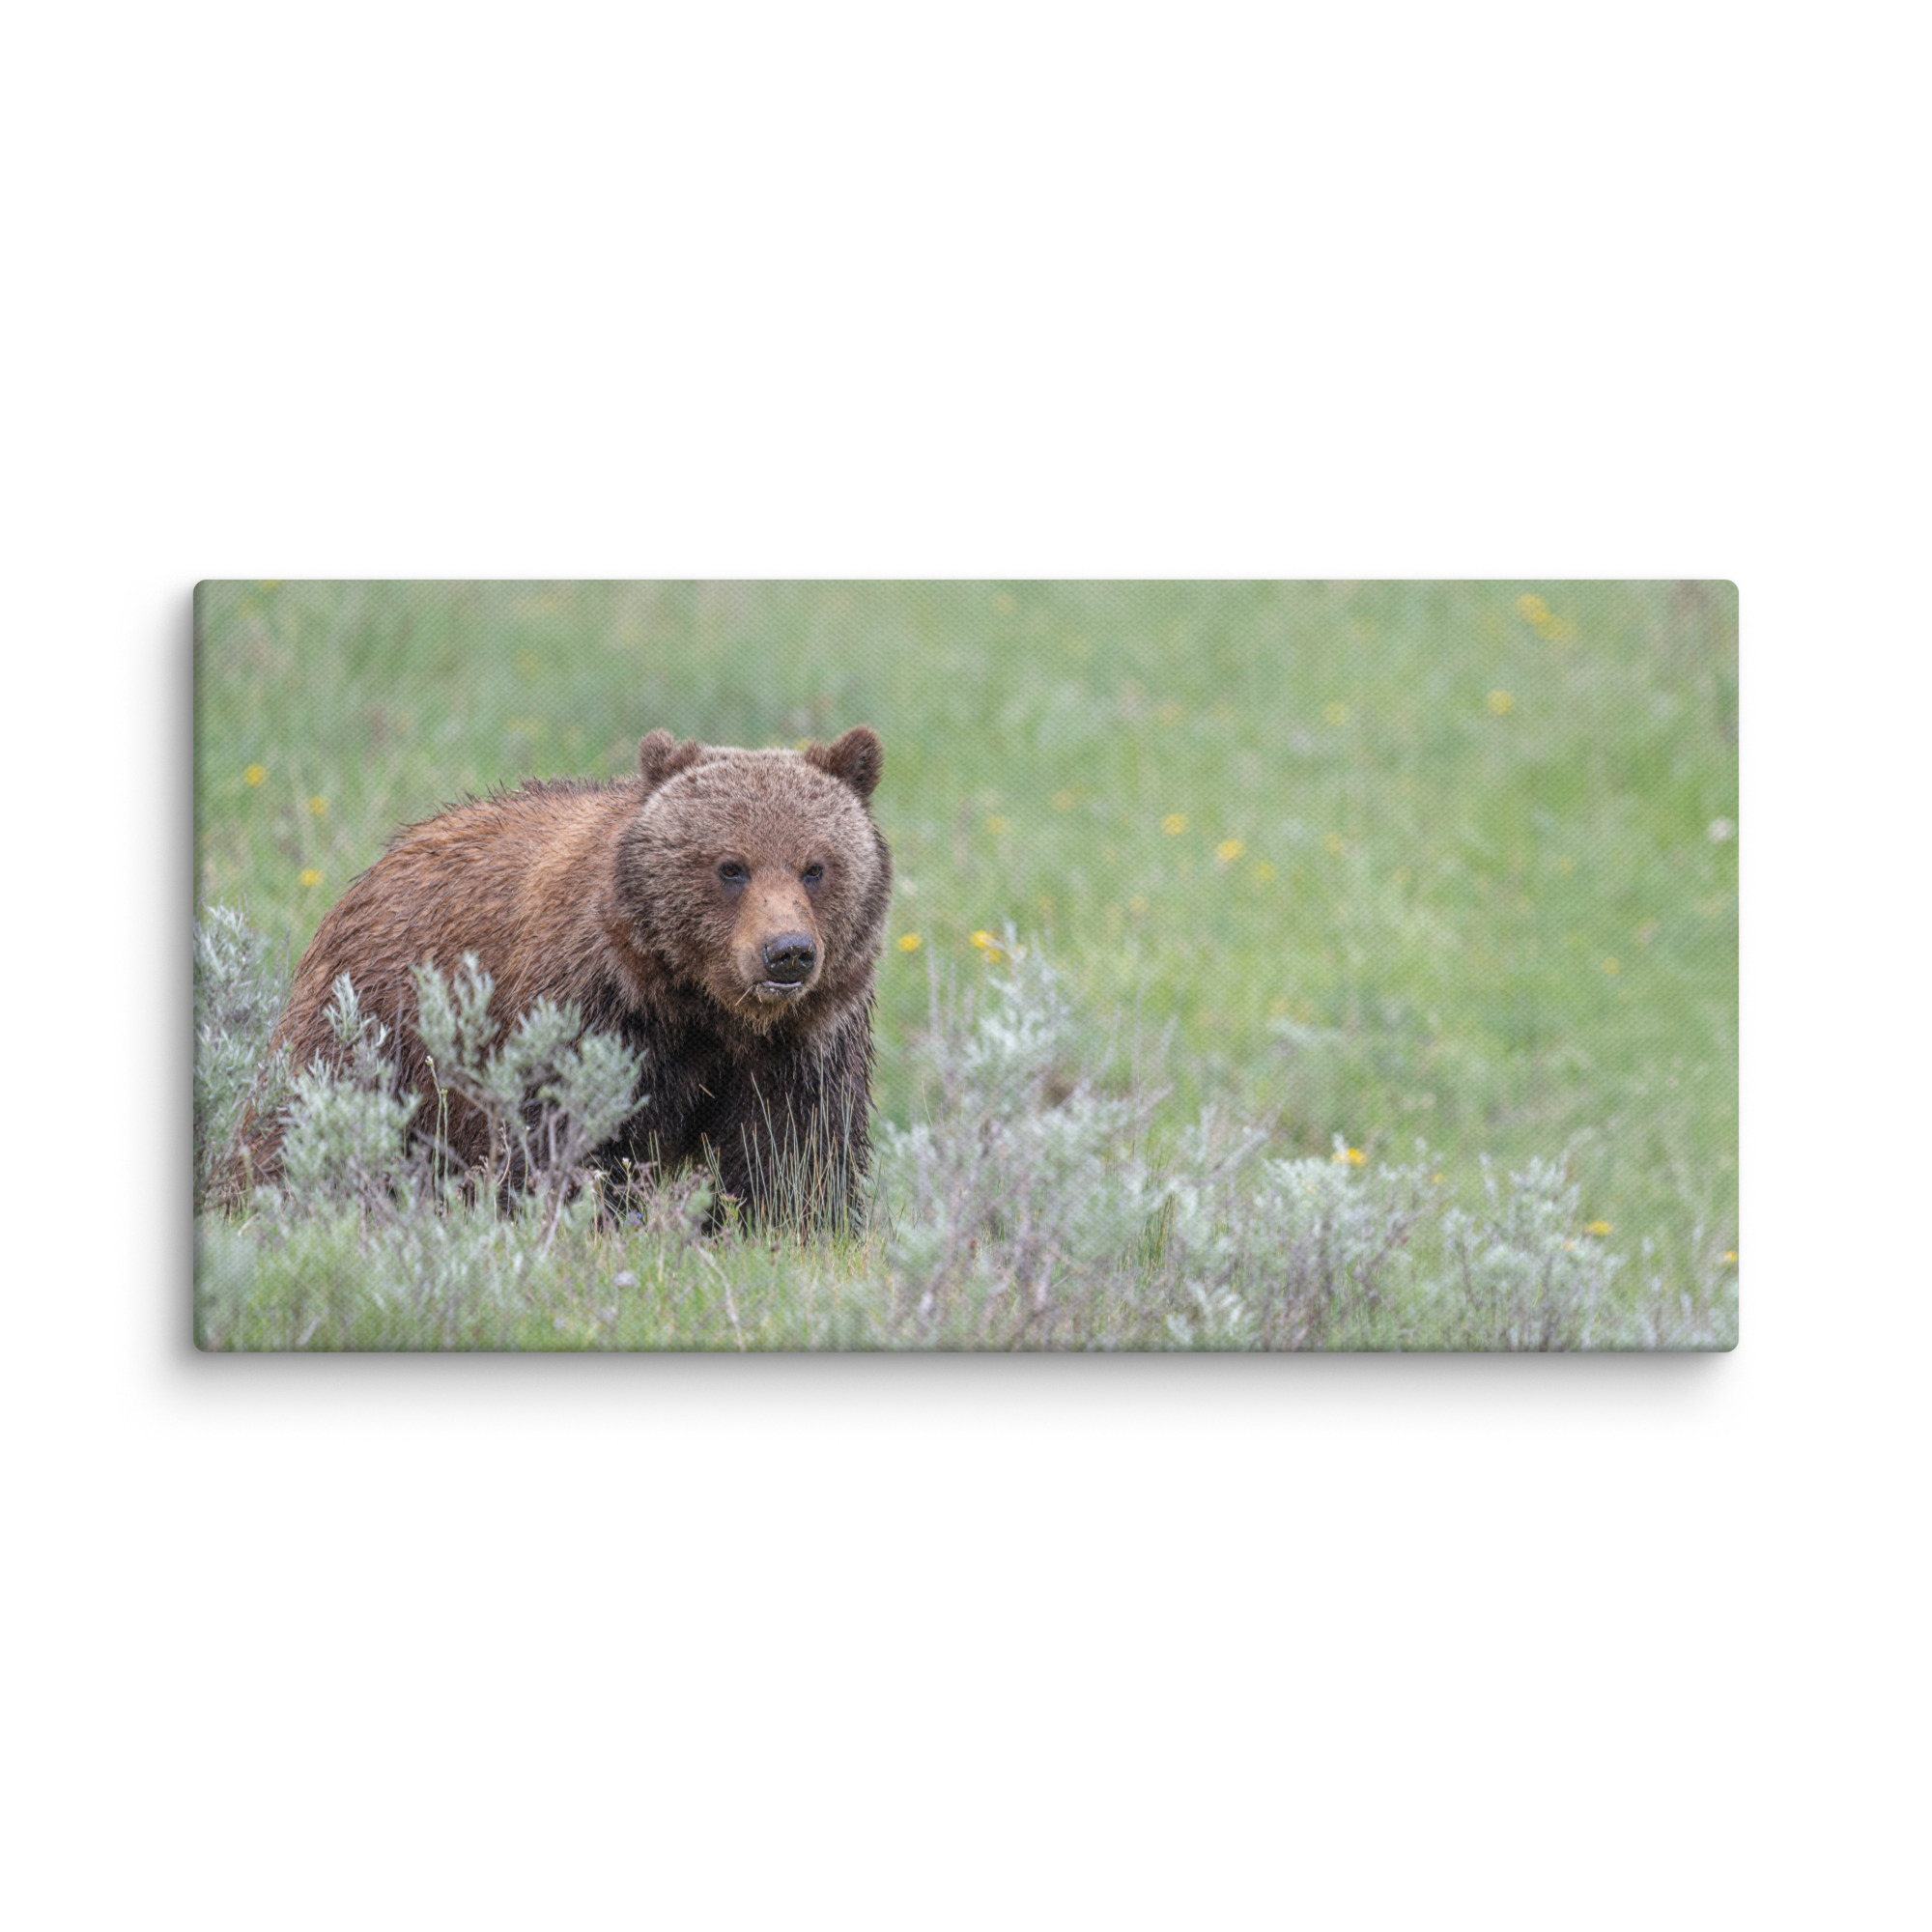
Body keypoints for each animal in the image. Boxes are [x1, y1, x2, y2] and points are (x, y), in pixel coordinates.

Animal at [231, 725, 892, 1224]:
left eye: (815, 867)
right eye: (731, 866)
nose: (787, 952)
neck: (702, 1005)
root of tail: (376, 864)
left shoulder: (802, 1041)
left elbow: (794, 1153)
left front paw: (788, 1225)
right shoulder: (592, 1012)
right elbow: (562, 1137)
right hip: (376, 1022)